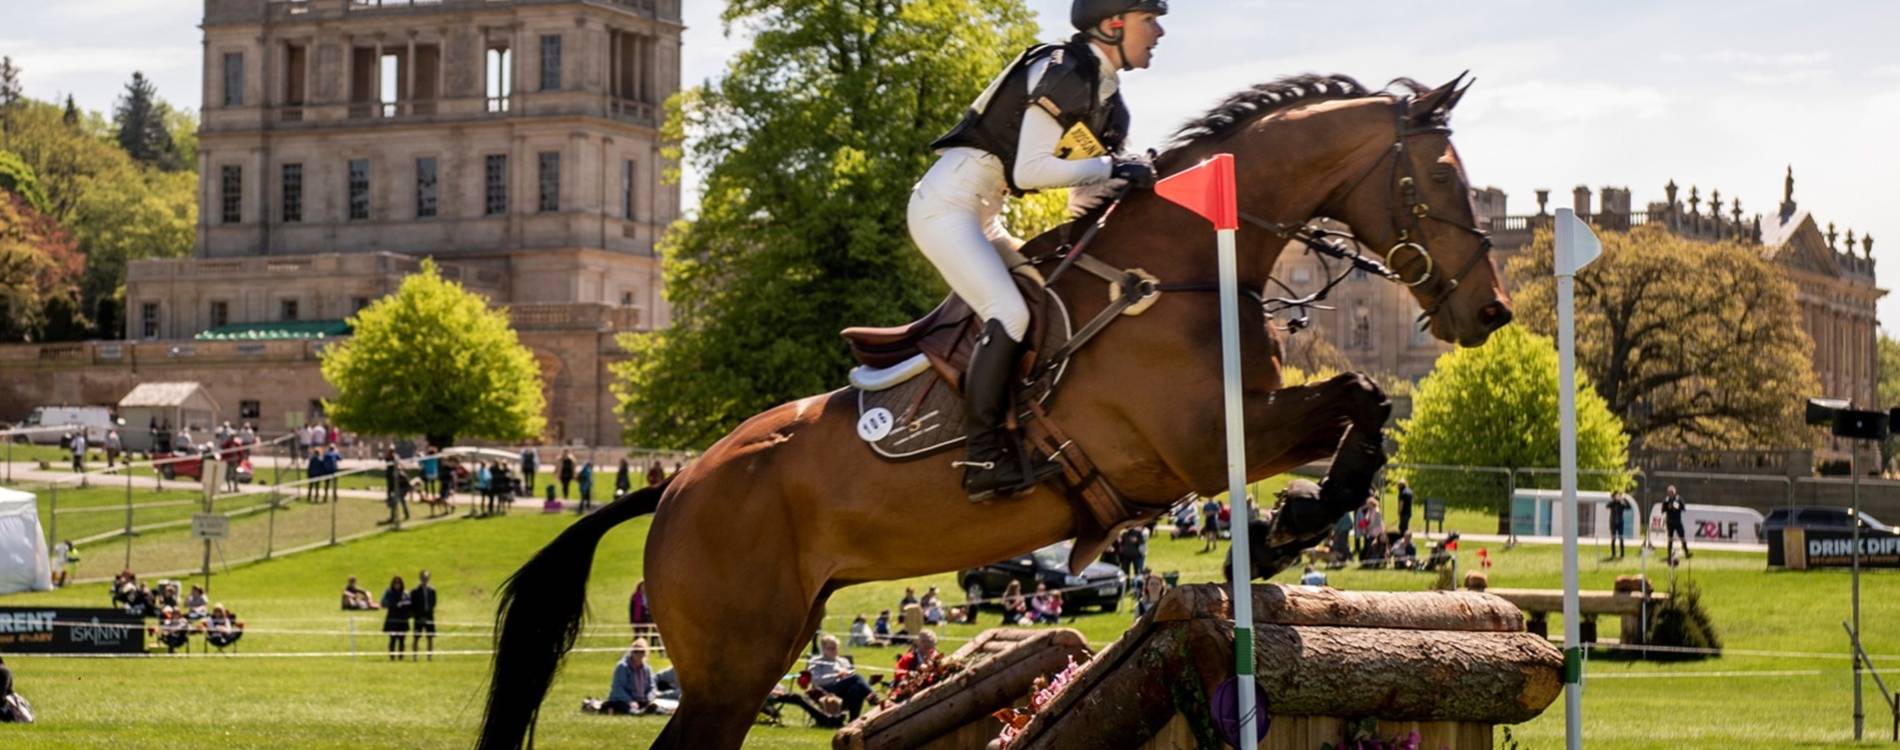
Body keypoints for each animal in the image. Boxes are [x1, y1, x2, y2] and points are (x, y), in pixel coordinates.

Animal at [476, 72, 1511, 750]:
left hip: (765, 649)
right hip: (733, 664)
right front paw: (1289, 526)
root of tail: (679, 484)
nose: (1492, 311)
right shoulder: (1202, 441)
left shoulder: (1243, 426)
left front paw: (1285, 532)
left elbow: (1366, 408)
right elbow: (1357, 405)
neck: (1182, 269)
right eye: (1443, 180)